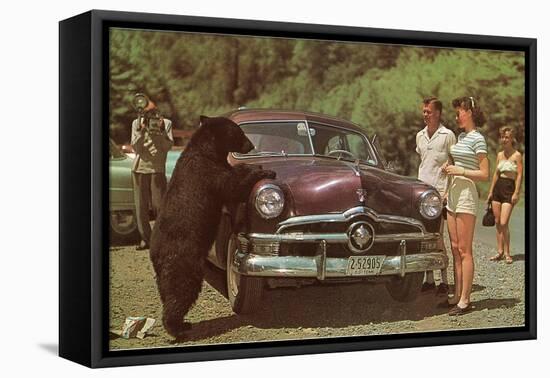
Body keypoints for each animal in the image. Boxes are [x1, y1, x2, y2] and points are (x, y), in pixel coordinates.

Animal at [149, 113, 276, 338]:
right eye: (239, 132)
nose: (251, 145)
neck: (208, 151)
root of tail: (155, 253)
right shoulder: (209, 174)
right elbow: (233, 187)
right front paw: (262, 170)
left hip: (165, 271)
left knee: (167, 290)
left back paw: (180, 324)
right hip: (184, 261)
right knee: (181, 290)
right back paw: (177, 328)